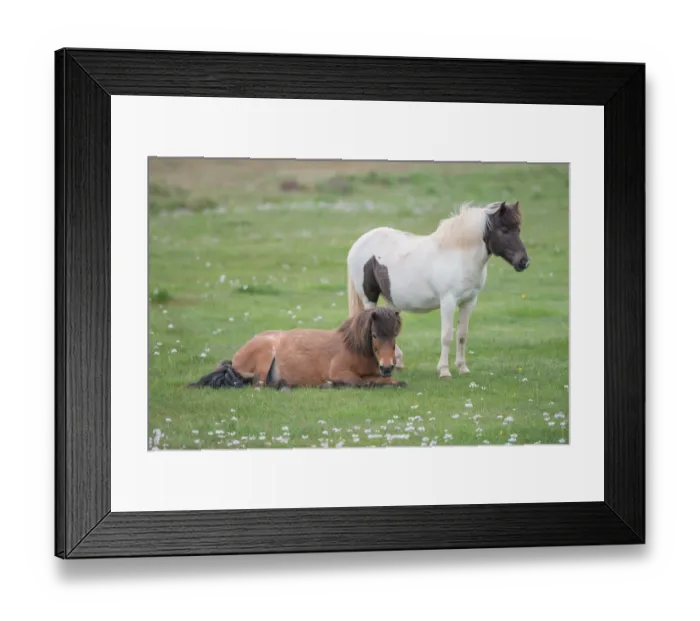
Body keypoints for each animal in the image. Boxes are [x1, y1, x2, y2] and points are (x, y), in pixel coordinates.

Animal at [188, 306, 406, 390]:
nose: (387, 367)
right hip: (265, 355)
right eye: (374, 335)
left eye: (395, 335)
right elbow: (361, 383)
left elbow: (392, 382)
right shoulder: (340, 372)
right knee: (260, 384)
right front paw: (329, 384)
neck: (353, 347)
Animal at [346, 200, 530, 378]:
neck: (459, 255)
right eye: (504, 230)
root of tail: (358, 244)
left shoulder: (469, 301)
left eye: (518, 229)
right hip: (369, 298)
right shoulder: (448, 301)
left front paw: (463, 368)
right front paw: (444, 371)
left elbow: (462, 335)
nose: (524, 262)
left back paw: (396, 363)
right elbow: (446, 336)